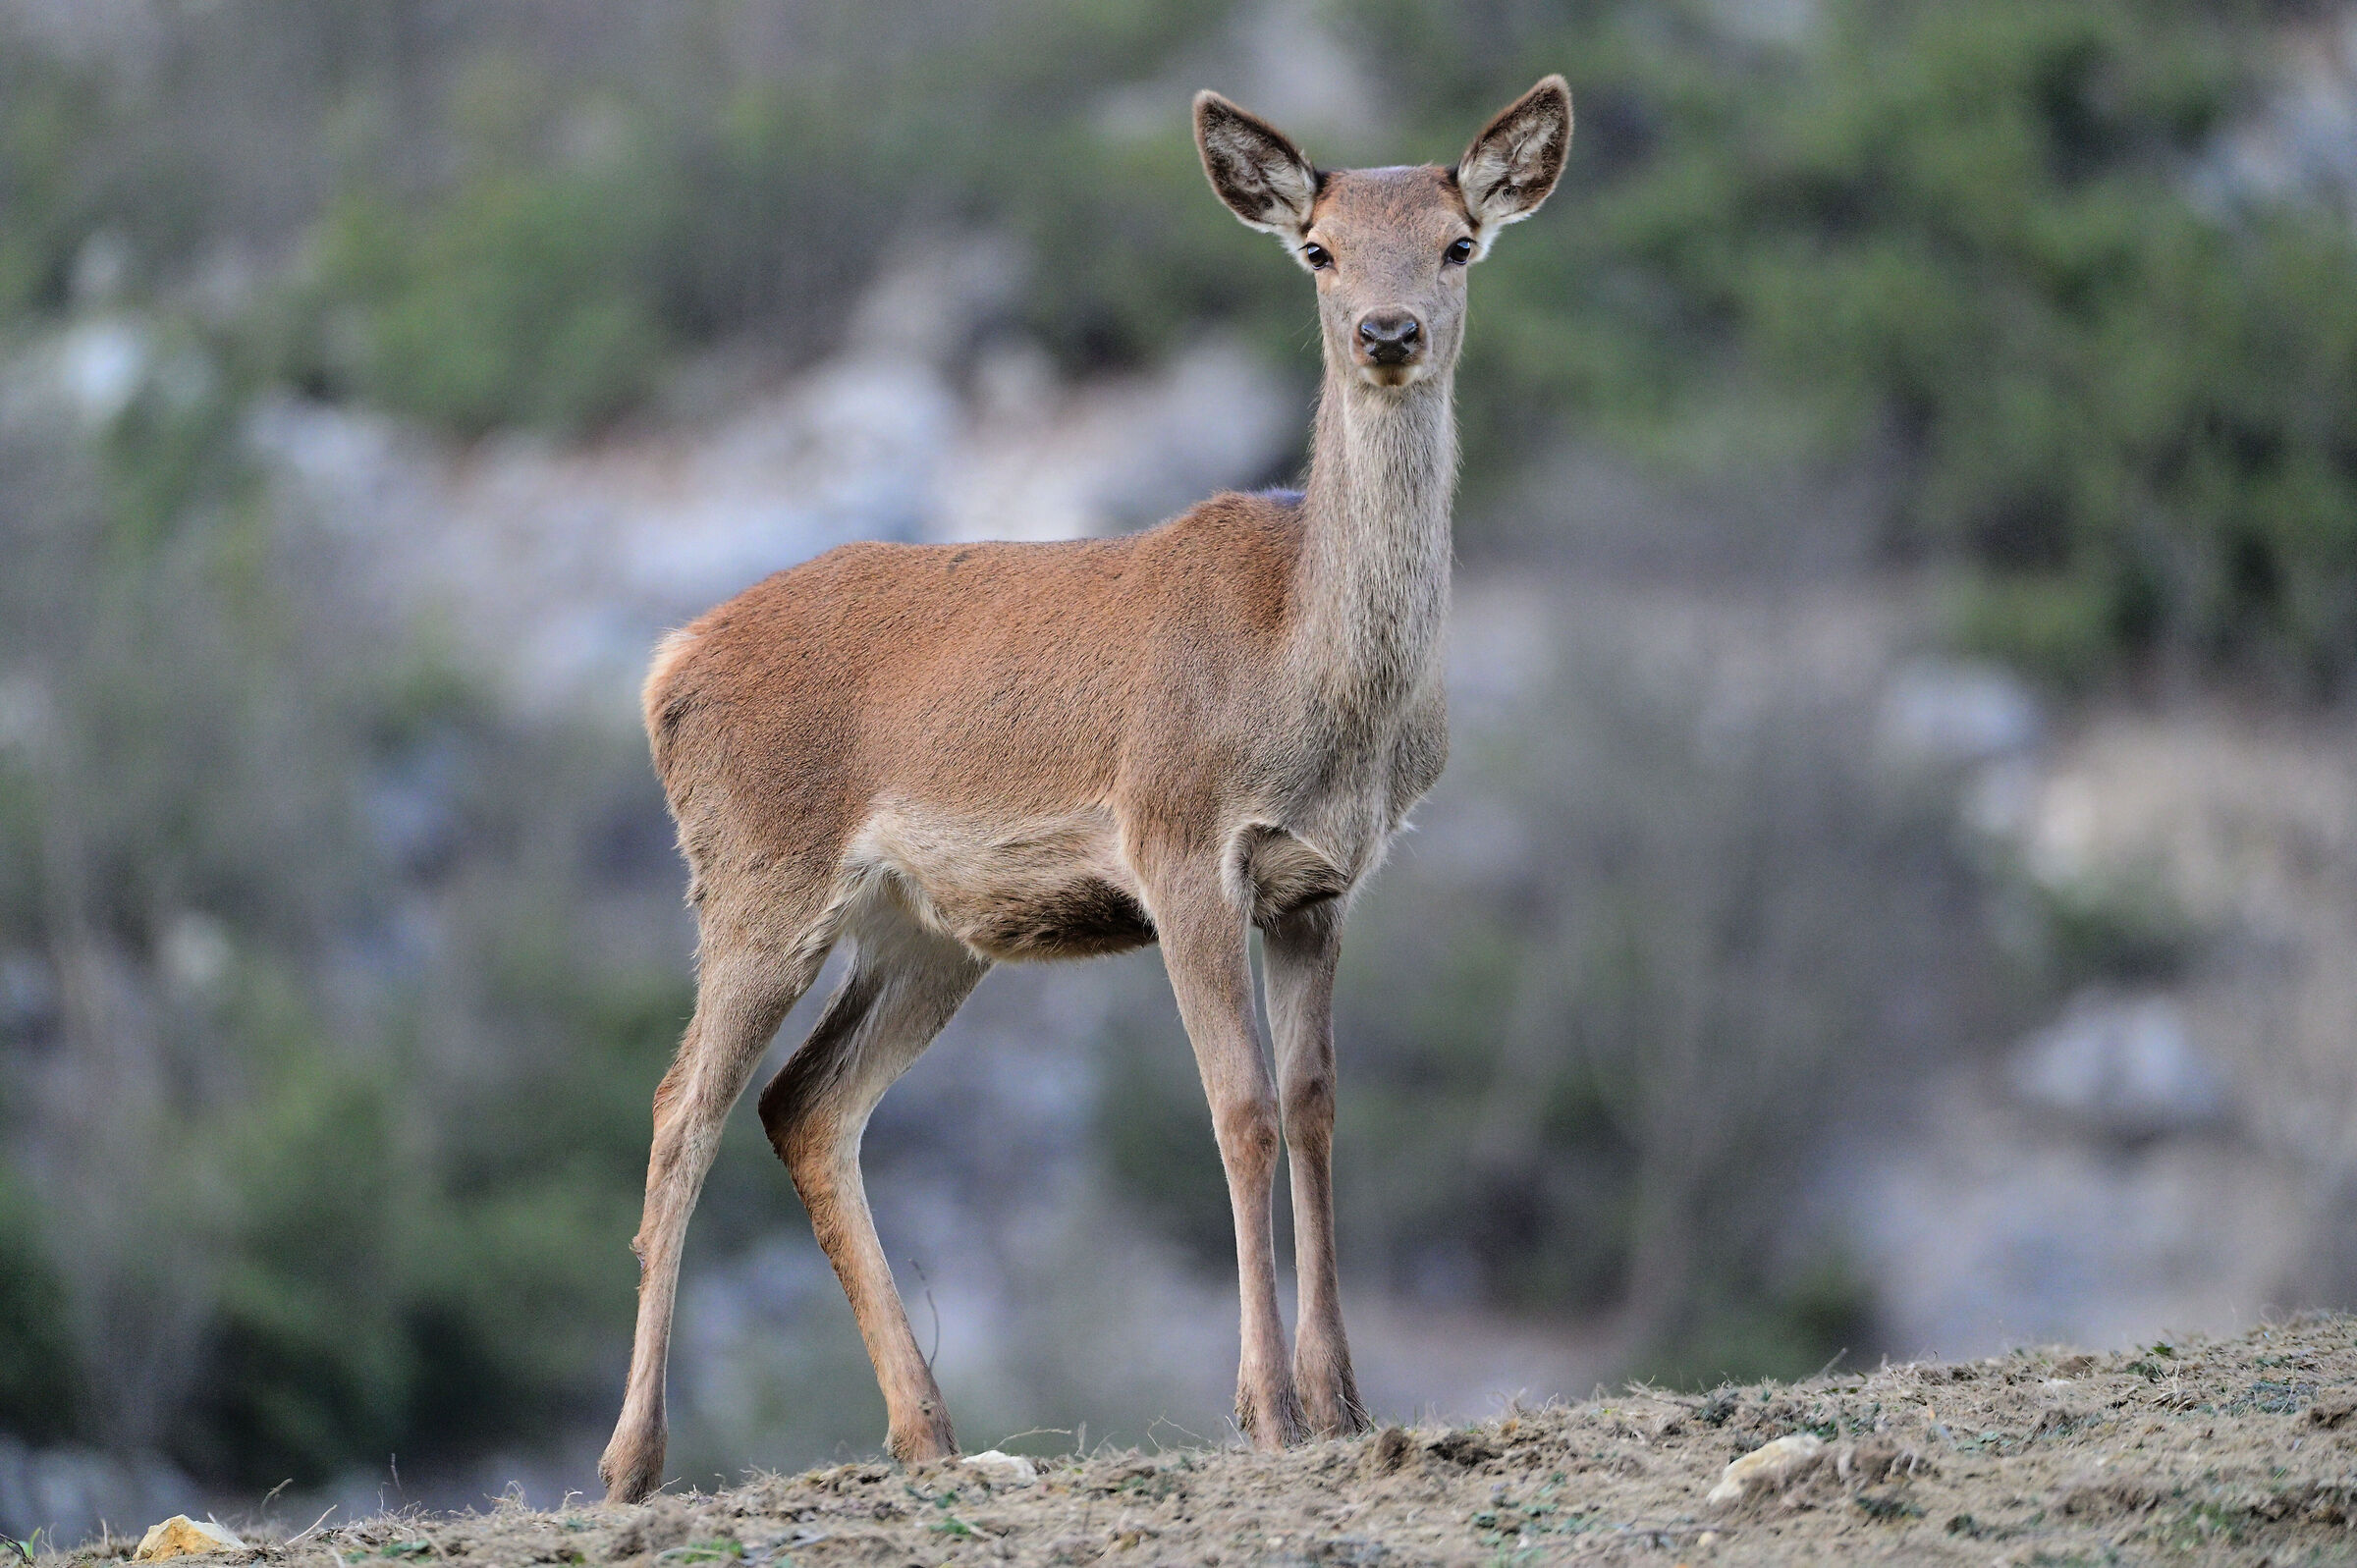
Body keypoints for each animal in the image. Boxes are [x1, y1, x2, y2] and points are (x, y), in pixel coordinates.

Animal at [598, 76, 1572, 1504]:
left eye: (1458, 245)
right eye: (1318, 250)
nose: (1387, 334)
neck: (1311, 682)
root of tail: (668, 664)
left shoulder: (1321, 881)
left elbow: (1315, 1108)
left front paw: (1346, 1404)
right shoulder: (1179, 839)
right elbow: (1238, 1110)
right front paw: (1266, 1410)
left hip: (930, 932)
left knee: (806, 1104)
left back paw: (930, 1433)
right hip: (754, 875)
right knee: (684, 1109)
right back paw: (632, 1460)